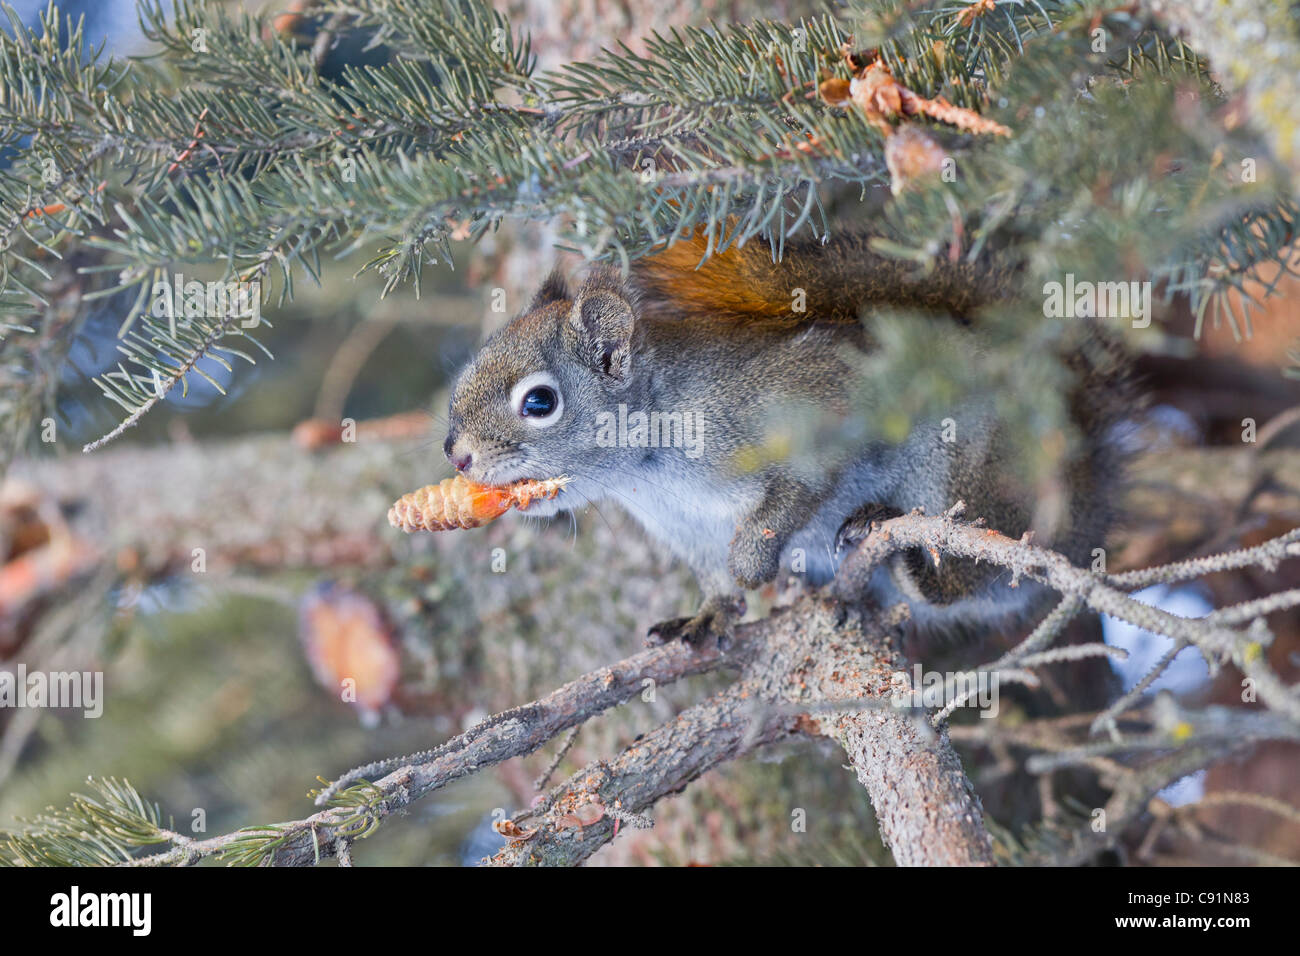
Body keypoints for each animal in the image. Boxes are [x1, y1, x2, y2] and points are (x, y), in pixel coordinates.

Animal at [441, 231, 1133, 647]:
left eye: (539, 402)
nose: (458, 454)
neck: (647, 470)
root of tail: (1088, 498)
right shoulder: (690, 533)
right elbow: (716, 586)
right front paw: (709, 614)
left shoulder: (814, 405)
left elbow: (792, 496)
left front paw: (755, 564)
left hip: (964, 469)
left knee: (970, 580)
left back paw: (905, 549)